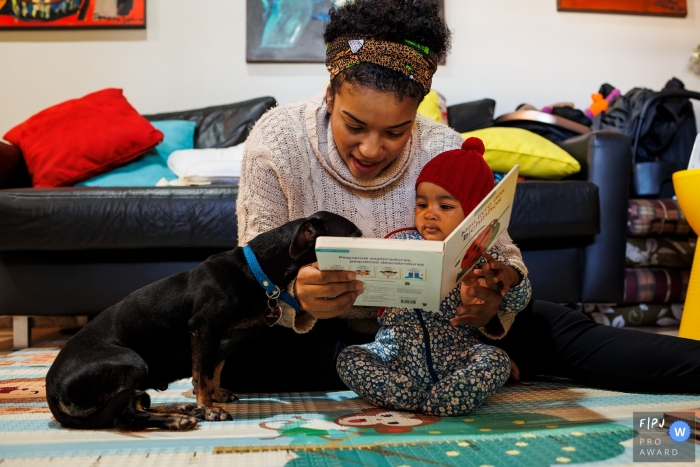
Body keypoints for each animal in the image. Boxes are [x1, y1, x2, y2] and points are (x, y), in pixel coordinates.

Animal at [45, 212, 360, 432]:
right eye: (354, 236)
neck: (256, 271)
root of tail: (51, 388)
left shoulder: (224, 339)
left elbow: (213, 372)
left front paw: (215, 397)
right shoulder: (204, 329)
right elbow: (203, 373)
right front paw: (209, 409)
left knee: (133, 404)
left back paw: (184, 411)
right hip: (133, 362)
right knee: (126, 414)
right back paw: (180, 419)